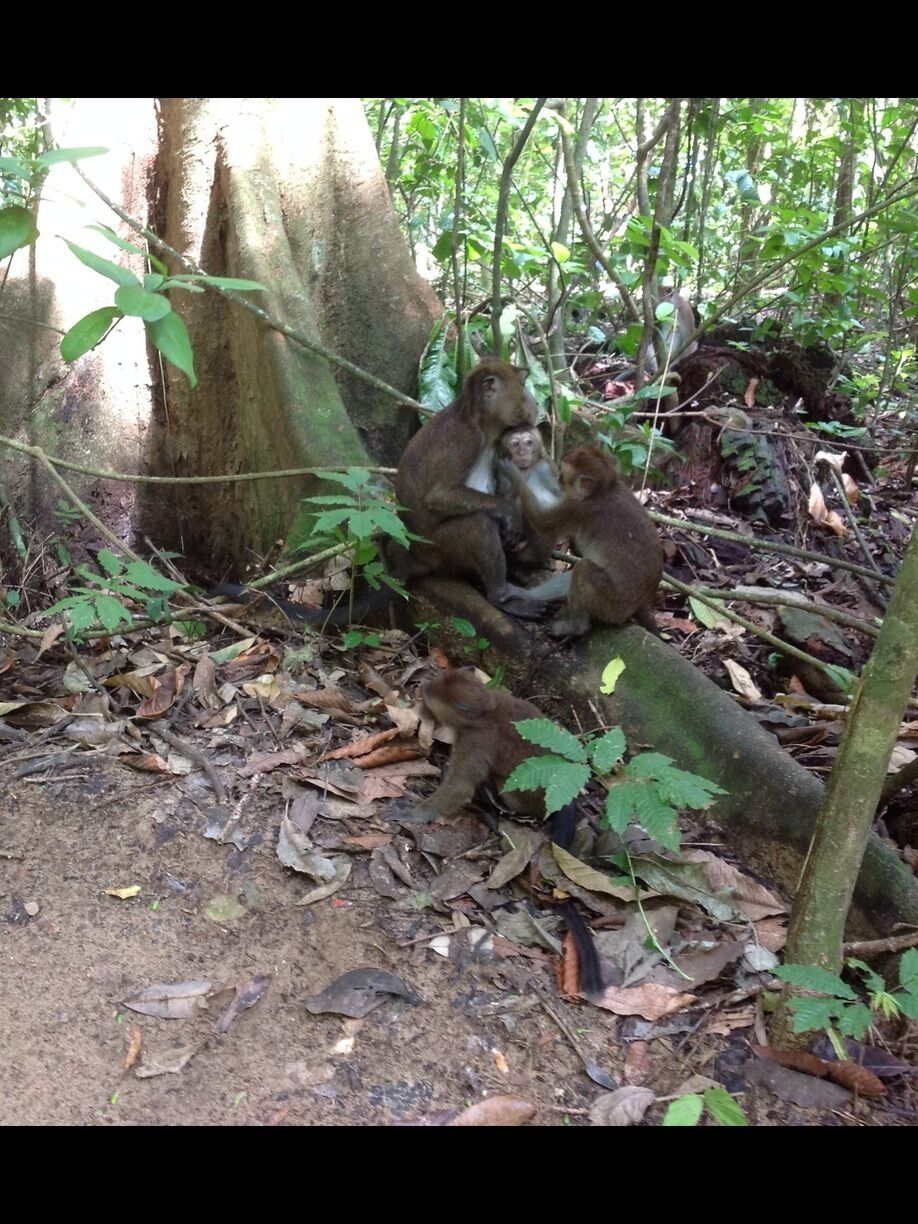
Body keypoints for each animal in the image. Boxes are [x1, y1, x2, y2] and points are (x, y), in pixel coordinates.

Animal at [391, 359, 544, 618]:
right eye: (522, 385)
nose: (535, 401)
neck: (481, 423)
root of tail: (419, 557)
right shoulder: (466, 440)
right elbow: (439, 495)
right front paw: (510, 512)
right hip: (442, 552)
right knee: (478, 524)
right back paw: (499, 595)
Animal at [502, 446, 663, 637]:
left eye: (563, 473)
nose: (558, 479)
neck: (602, 491)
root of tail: (644, 603)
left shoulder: (577, 508)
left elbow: (541, 522)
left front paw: (513, 473)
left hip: (614, 606)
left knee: (584, 569)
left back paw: (576, 627)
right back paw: (528, 595)